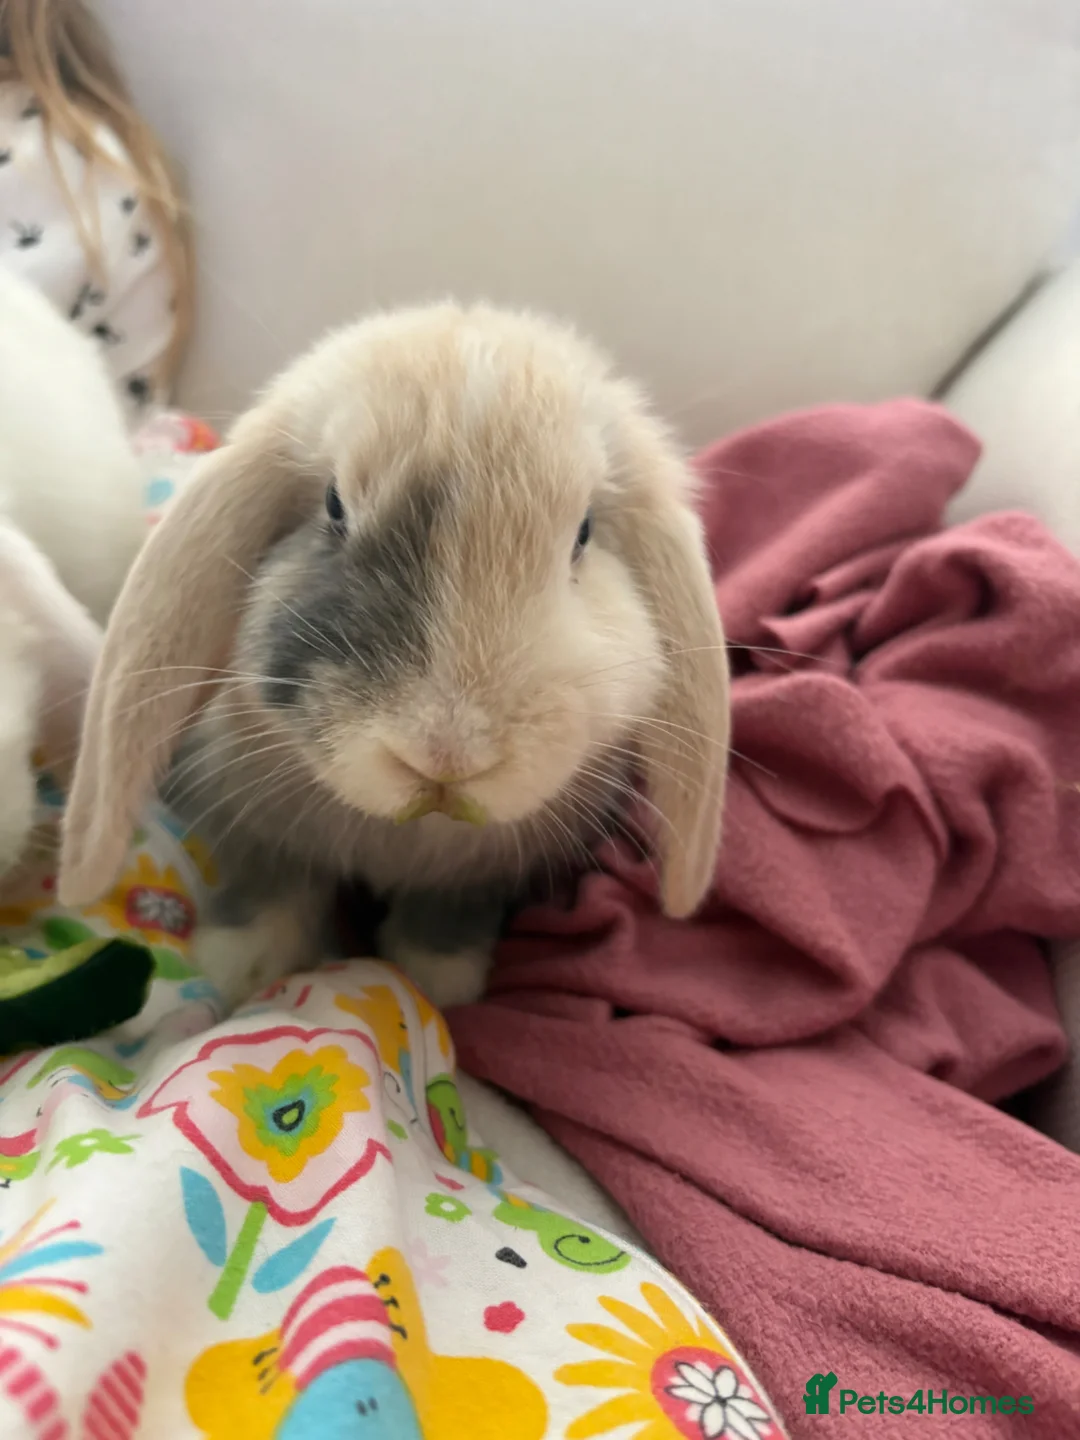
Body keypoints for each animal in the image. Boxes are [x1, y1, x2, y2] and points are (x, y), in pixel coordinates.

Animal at [58, 303, 730, 1008]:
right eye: (333, 506)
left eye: (584, 534)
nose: (446, 754)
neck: (404, 835)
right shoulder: (254, 825)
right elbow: (270, 885)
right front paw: (243, 969)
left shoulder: (480, 873)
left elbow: (447, 914)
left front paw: (440, 981)